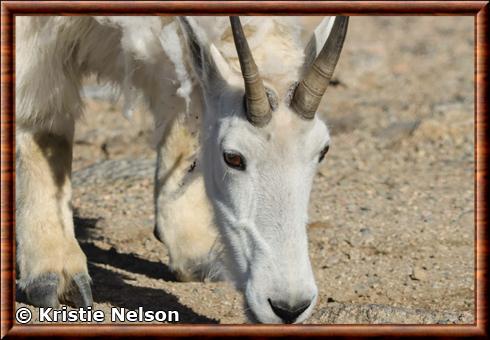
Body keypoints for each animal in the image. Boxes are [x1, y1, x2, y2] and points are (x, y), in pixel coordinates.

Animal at [16, 15, 348, 324]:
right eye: (233, 157)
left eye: (323, 151)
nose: (289, 307)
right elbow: (43, 129)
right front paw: (55, 272)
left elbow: (184, 123)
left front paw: (191, 250)